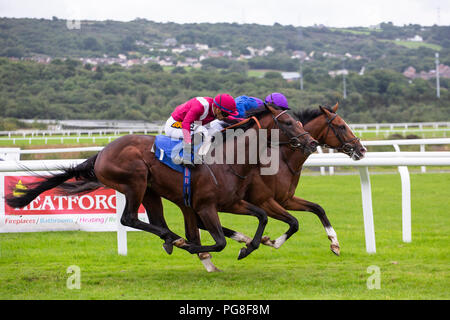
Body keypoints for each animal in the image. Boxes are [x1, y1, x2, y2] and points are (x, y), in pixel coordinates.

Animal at [6, 104, 316, 264]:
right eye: (289, 122)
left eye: (299, 121)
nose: (312, 142)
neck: (229, 160)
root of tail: (102, 152)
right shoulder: (206, 206)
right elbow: (217, 242)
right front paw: (197, 247)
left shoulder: (234, 202)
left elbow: (261, 217)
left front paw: (248, 246)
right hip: (135, 180)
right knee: (131, 218)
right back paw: (175, 239)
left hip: (151, 191)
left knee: (154, 220)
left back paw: (172, 238)